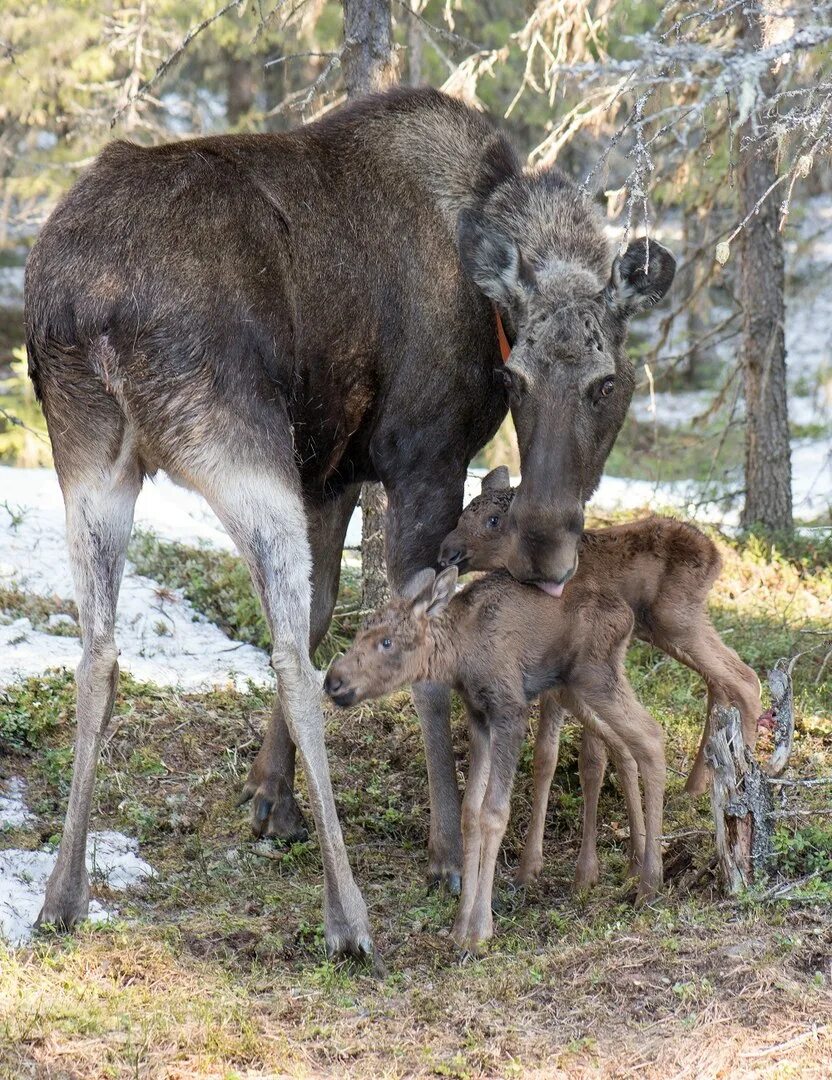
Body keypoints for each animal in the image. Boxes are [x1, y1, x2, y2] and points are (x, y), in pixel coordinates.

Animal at [25, 88, 674, 959]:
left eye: (606, 382)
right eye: (514, 379)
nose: (544, 544)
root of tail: (94, 303)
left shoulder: (328, 470)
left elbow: (324, 609)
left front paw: (272, 799)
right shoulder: (422, 458)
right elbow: (414, 652)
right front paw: (445, 852)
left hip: (90, 452)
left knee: (99, 653)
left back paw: (62, 896)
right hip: (237, 438)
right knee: (289, 664)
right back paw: (349, 916)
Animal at [436, 468, 760, 889]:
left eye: (492, 520)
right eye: (463, 512)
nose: (446, 552)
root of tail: (716, 555)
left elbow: (589, 760)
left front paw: (583, 870)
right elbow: (555, 756)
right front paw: (537, 865)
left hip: (676, 621)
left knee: (745, 679)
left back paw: (754, 779)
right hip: (667, 630)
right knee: (720, 681)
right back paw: (697, 785)